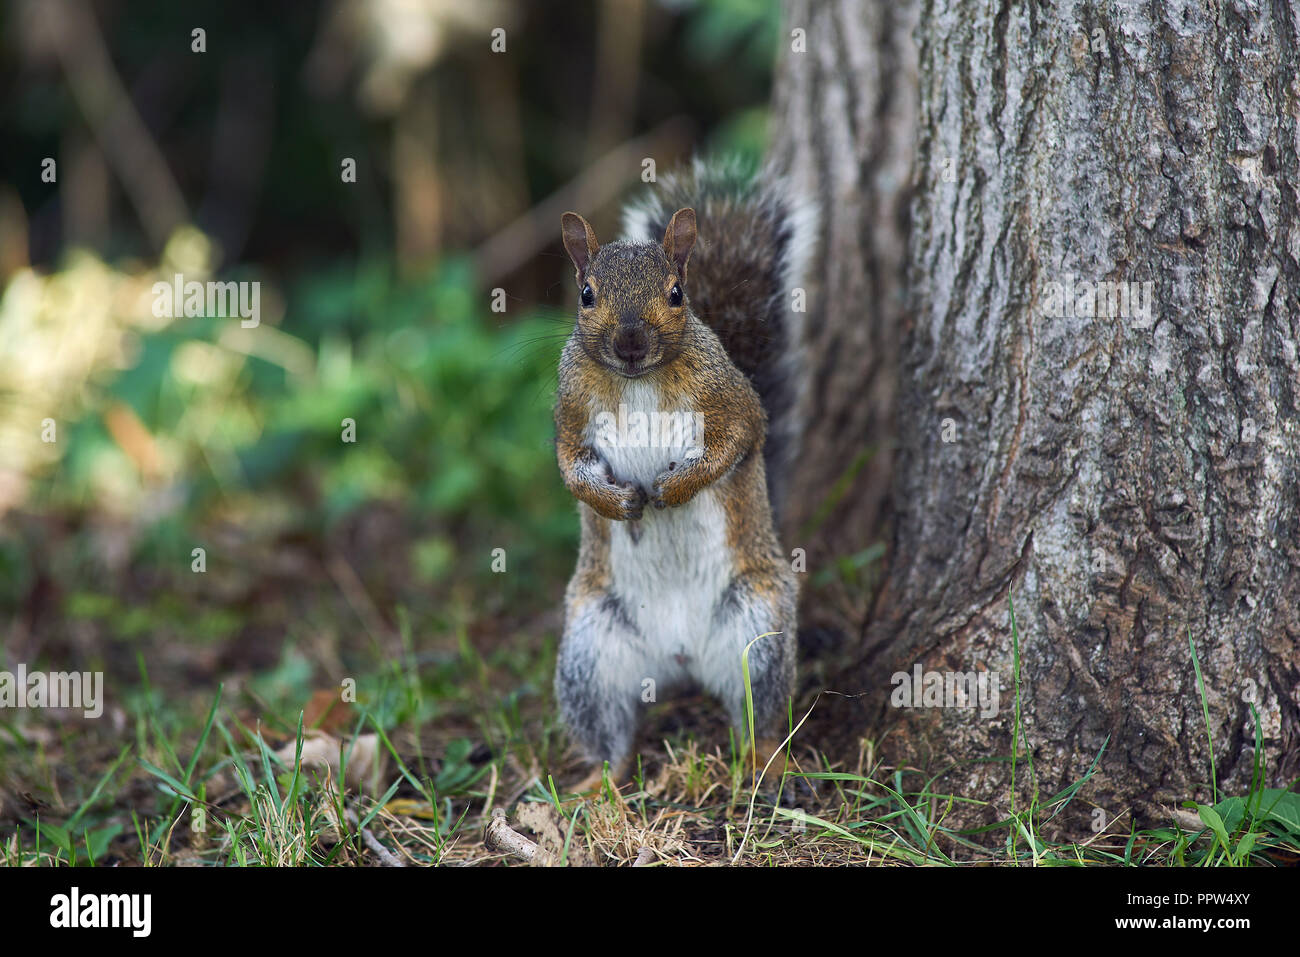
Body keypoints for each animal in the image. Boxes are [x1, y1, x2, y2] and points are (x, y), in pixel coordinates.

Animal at [553, 160, 816, 790]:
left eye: (676, 294)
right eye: (586, 294)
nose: (629, 341)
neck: (637, 381)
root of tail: (679, 658)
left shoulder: (733, 404)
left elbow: (736, 444)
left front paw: (673, 489)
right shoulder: (570, 417)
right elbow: (570, 469)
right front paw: (617, 503)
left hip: (757, 628)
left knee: (756, 715)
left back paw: (766, 761)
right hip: (590, 651)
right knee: (610, 737)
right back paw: (595, 786)